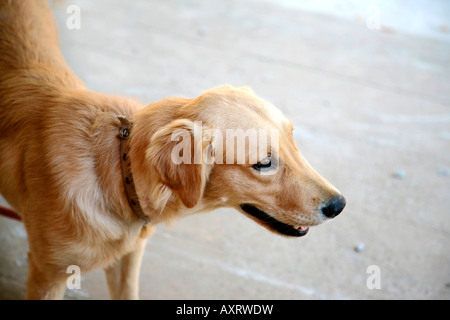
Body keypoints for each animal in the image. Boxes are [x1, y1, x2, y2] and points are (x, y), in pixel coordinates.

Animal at [0, 0, 346, 300]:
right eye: (263, 163)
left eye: (293, 139)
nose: (339, 205)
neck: (118, 171)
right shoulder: (49, 274)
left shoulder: (128, 257)